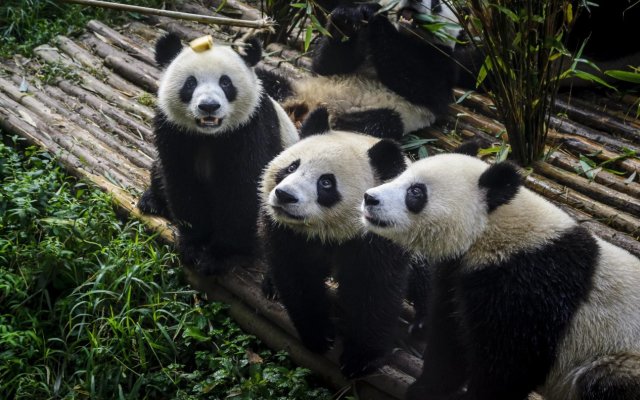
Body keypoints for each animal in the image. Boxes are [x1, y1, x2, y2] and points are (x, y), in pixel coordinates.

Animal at [138, 32, 298, 276]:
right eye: (190, 83)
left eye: (225, 82)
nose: (209, 106)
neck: (210, 135)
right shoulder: (174, 131)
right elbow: (182, 182)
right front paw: (194, 245)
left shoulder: (249, 129)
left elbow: (241, 191)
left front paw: (219, 256)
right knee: (158, 171)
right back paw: (152, 201)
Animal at [258, 109, 428, 378]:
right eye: (292, 166)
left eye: (326, 183)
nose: (284, 196)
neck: (328, 231)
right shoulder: (285, 231)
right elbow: (296, 277)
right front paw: (318, 335)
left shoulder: (380, 238)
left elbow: (374, 291)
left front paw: (361, 359)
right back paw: (270, 285)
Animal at [260, 0, 460, 139]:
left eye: (436, 4)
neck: (406, 35)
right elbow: (328, 65)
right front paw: (347, 17)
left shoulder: (442, 59)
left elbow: (419, 85)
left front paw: (377, 16)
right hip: (294, 87)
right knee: (266, 82)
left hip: (392, 115)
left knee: (379, 123)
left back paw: (325, 123)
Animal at [360, 153, 640, 400]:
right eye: (399, 175)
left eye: (416, 191)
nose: (369, 198)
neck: (492, 229)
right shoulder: (461, 274)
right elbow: (451, 337)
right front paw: (426, 389)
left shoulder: (529, 286)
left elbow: (509, 364)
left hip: (619, 357)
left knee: (603, 381)